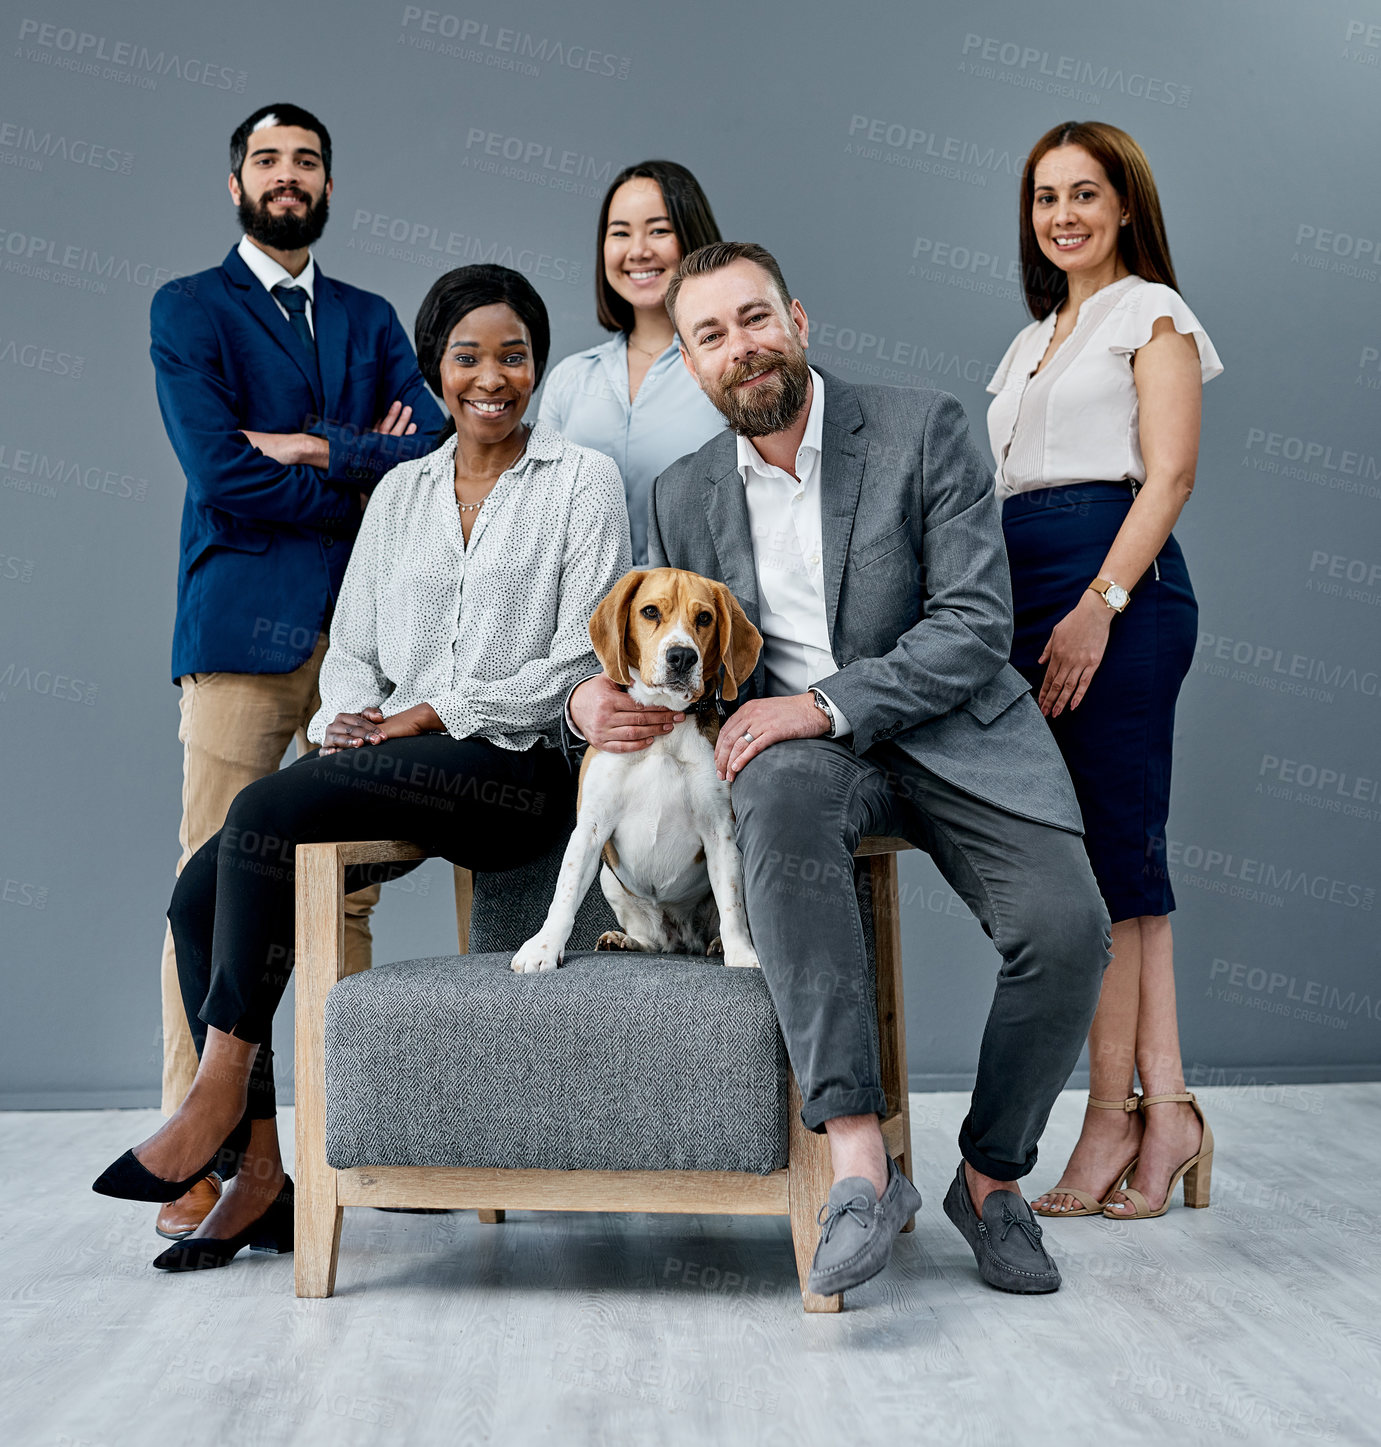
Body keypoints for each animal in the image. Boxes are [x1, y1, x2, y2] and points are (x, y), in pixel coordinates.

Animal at [509, 564, 758, 972]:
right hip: (609, 879)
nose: (682, 657)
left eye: (704, 618)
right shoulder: (591, 827)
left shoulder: (720, 830)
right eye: (650, 612)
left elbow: (733, 905)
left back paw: (718, 943)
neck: (663, 722)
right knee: (652, 941)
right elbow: (564, 896)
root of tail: (680, 938)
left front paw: (741, 952)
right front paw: (543, 948)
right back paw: (625, 940)